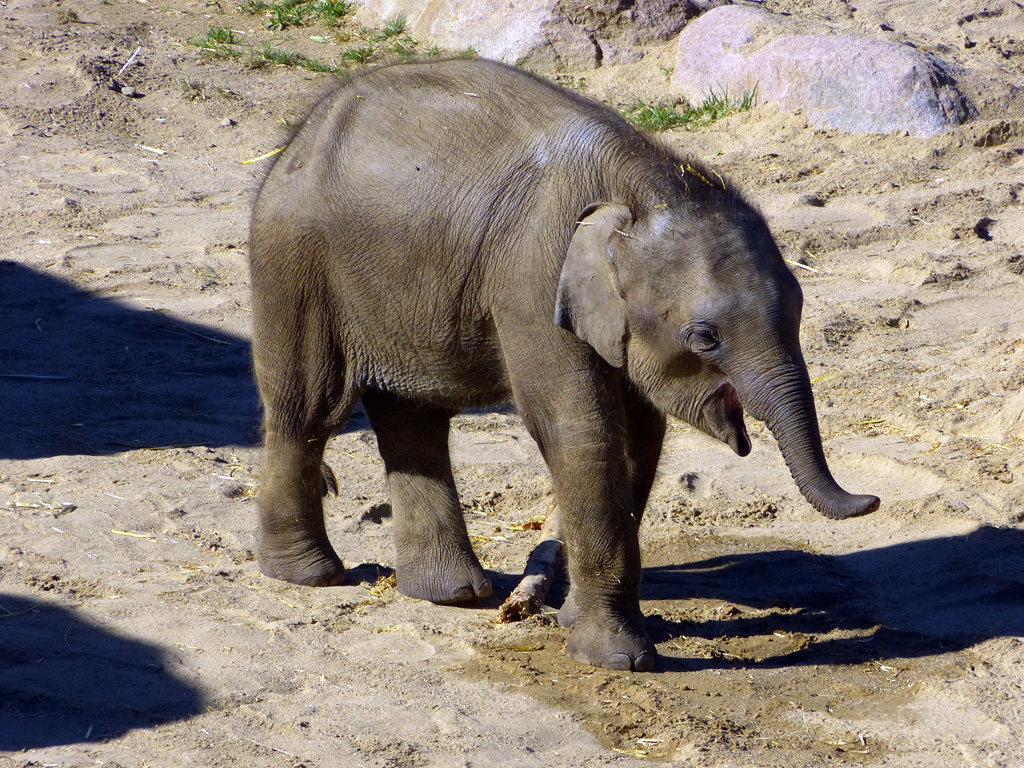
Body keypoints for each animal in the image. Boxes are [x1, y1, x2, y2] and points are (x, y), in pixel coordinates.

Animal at [249, 58, 880, 671]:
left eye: (800, 310)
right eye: (705, 338)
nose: (871, 501)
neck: (638, 184)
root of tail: (299, 134)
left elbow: (638, 436)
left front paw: (573, 619)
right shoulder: (533, 284)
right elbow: (581, 431)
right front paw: (619, 661)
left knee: (414, 419)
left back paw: (452, 594)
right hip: (295, 264)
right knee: (309, 409)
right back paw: (310, 575)